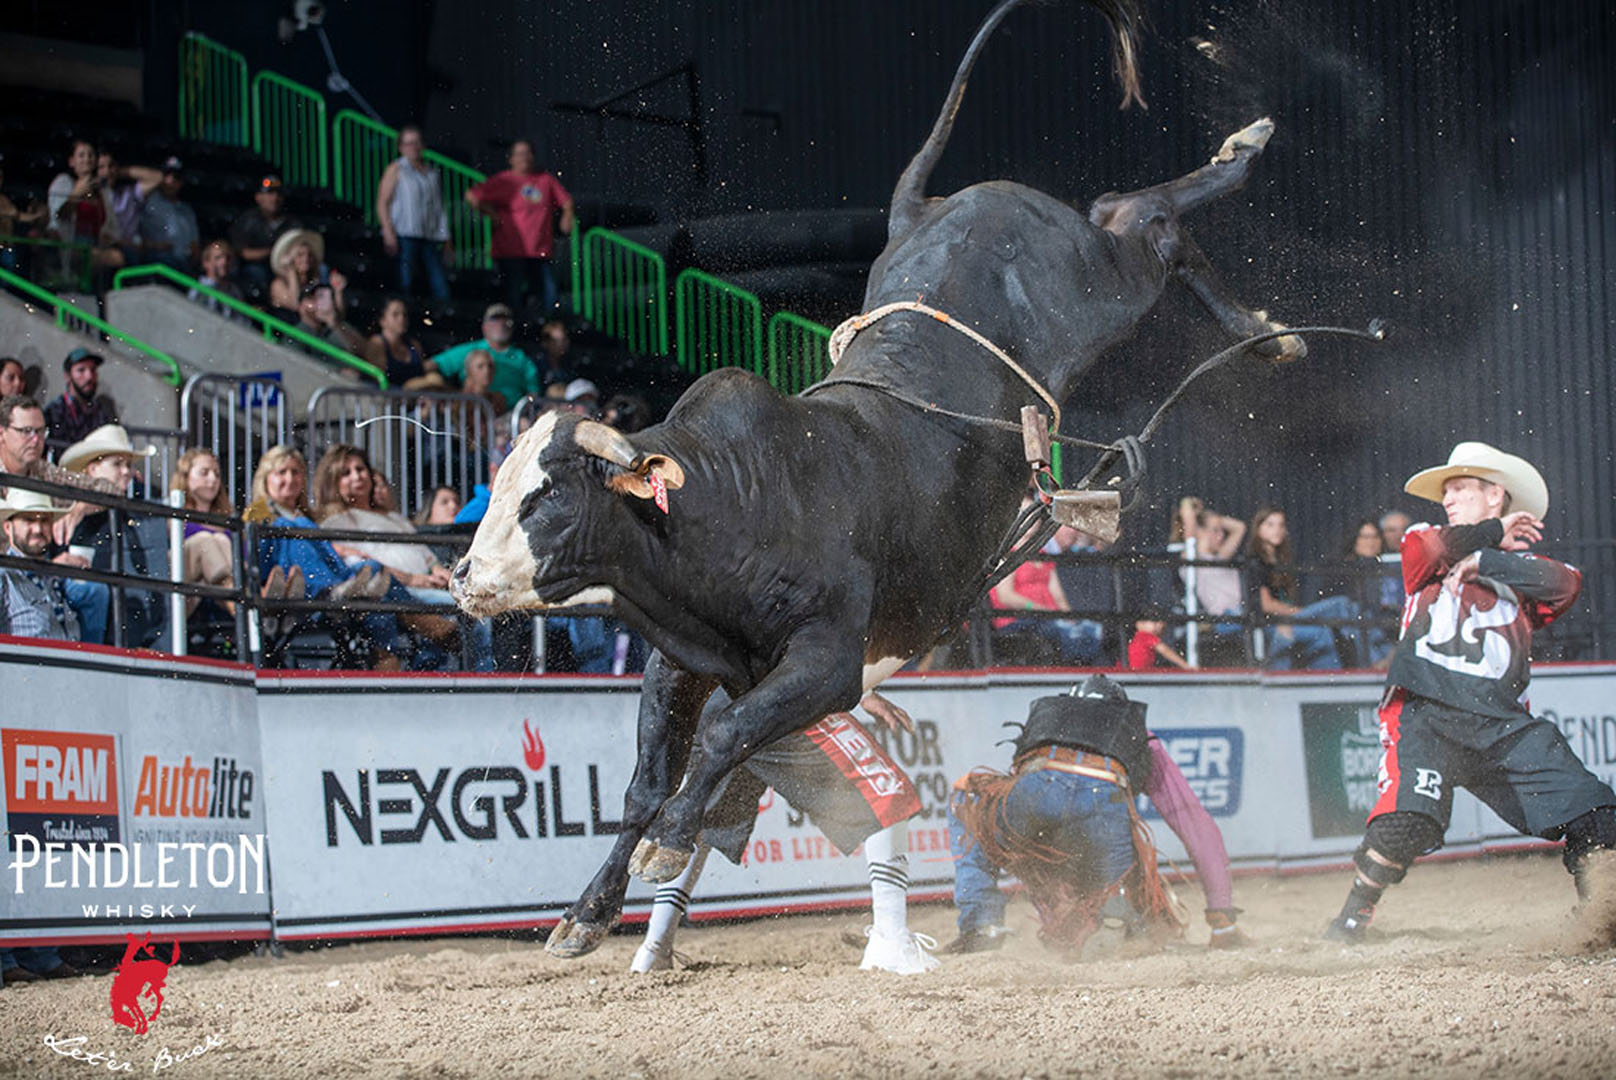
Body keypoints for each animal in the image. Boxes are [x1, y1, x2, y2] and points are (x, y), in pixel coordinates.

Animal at [453, 0, 1306, 958]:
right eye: (501, 483)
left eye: (547, 494)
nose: (463, 576)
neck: (734, 499)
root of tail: (929, 207)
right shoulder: (677, 655)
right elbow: (646, 777)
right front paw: (586, 912)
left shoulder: (828, 662)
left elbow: (722, 734)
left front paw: (665, 846)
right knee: (1130, 210)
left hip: (1103, 283)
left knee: (1149, 221)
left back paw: (1260, 269)